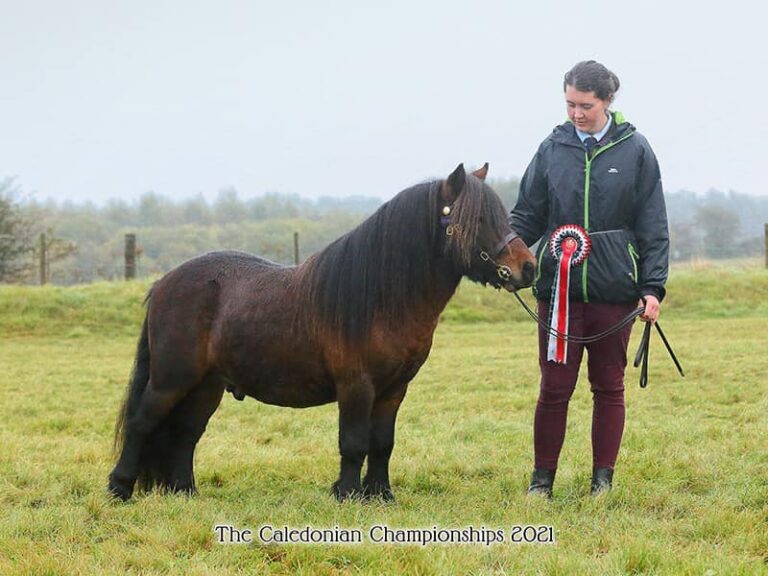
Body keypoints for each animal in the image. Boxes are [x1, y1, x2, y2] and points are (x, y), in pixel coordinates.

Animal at [109, 162, 536, 500]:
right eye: (478, 219)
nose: (527, 268)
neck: (381, 299)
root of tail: (164, 283)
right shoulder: (356, 386)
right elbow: (354, 442)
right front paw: (346, 494)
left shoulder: (394, 390)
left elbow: (383, 443)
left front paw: (380, 495)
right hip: (171, 379)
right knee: (142, 422)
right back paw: (119, 488)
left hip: (206, 386)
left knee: (186, 433)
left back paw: (185, 493)